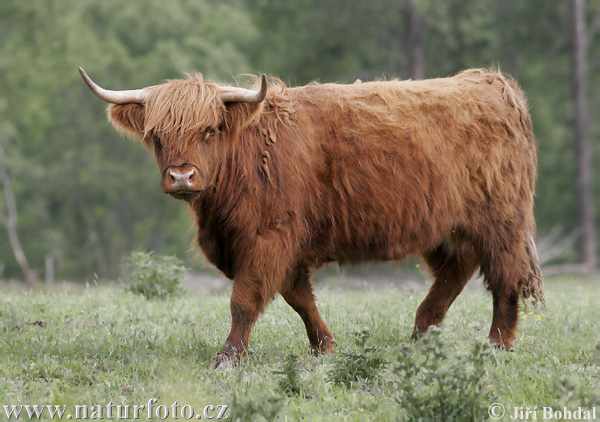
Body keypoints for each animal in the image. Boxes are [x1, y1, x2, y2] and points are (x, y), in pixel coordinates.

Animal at [78, 65, 544, 366]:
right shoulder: (284, 245)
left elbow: (244, 300)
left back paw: (498, 345)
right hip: (448, 227)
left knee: (505, 278)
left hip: (502, 220)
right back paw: (420, 336)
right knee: (455, 271)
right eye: (157, 136)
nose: (180, 176)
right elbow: (298, 297)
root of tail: (493, 82)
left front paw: (228, 357)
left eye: (209, 130)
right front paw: (325, 347)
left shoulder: (271, 237)